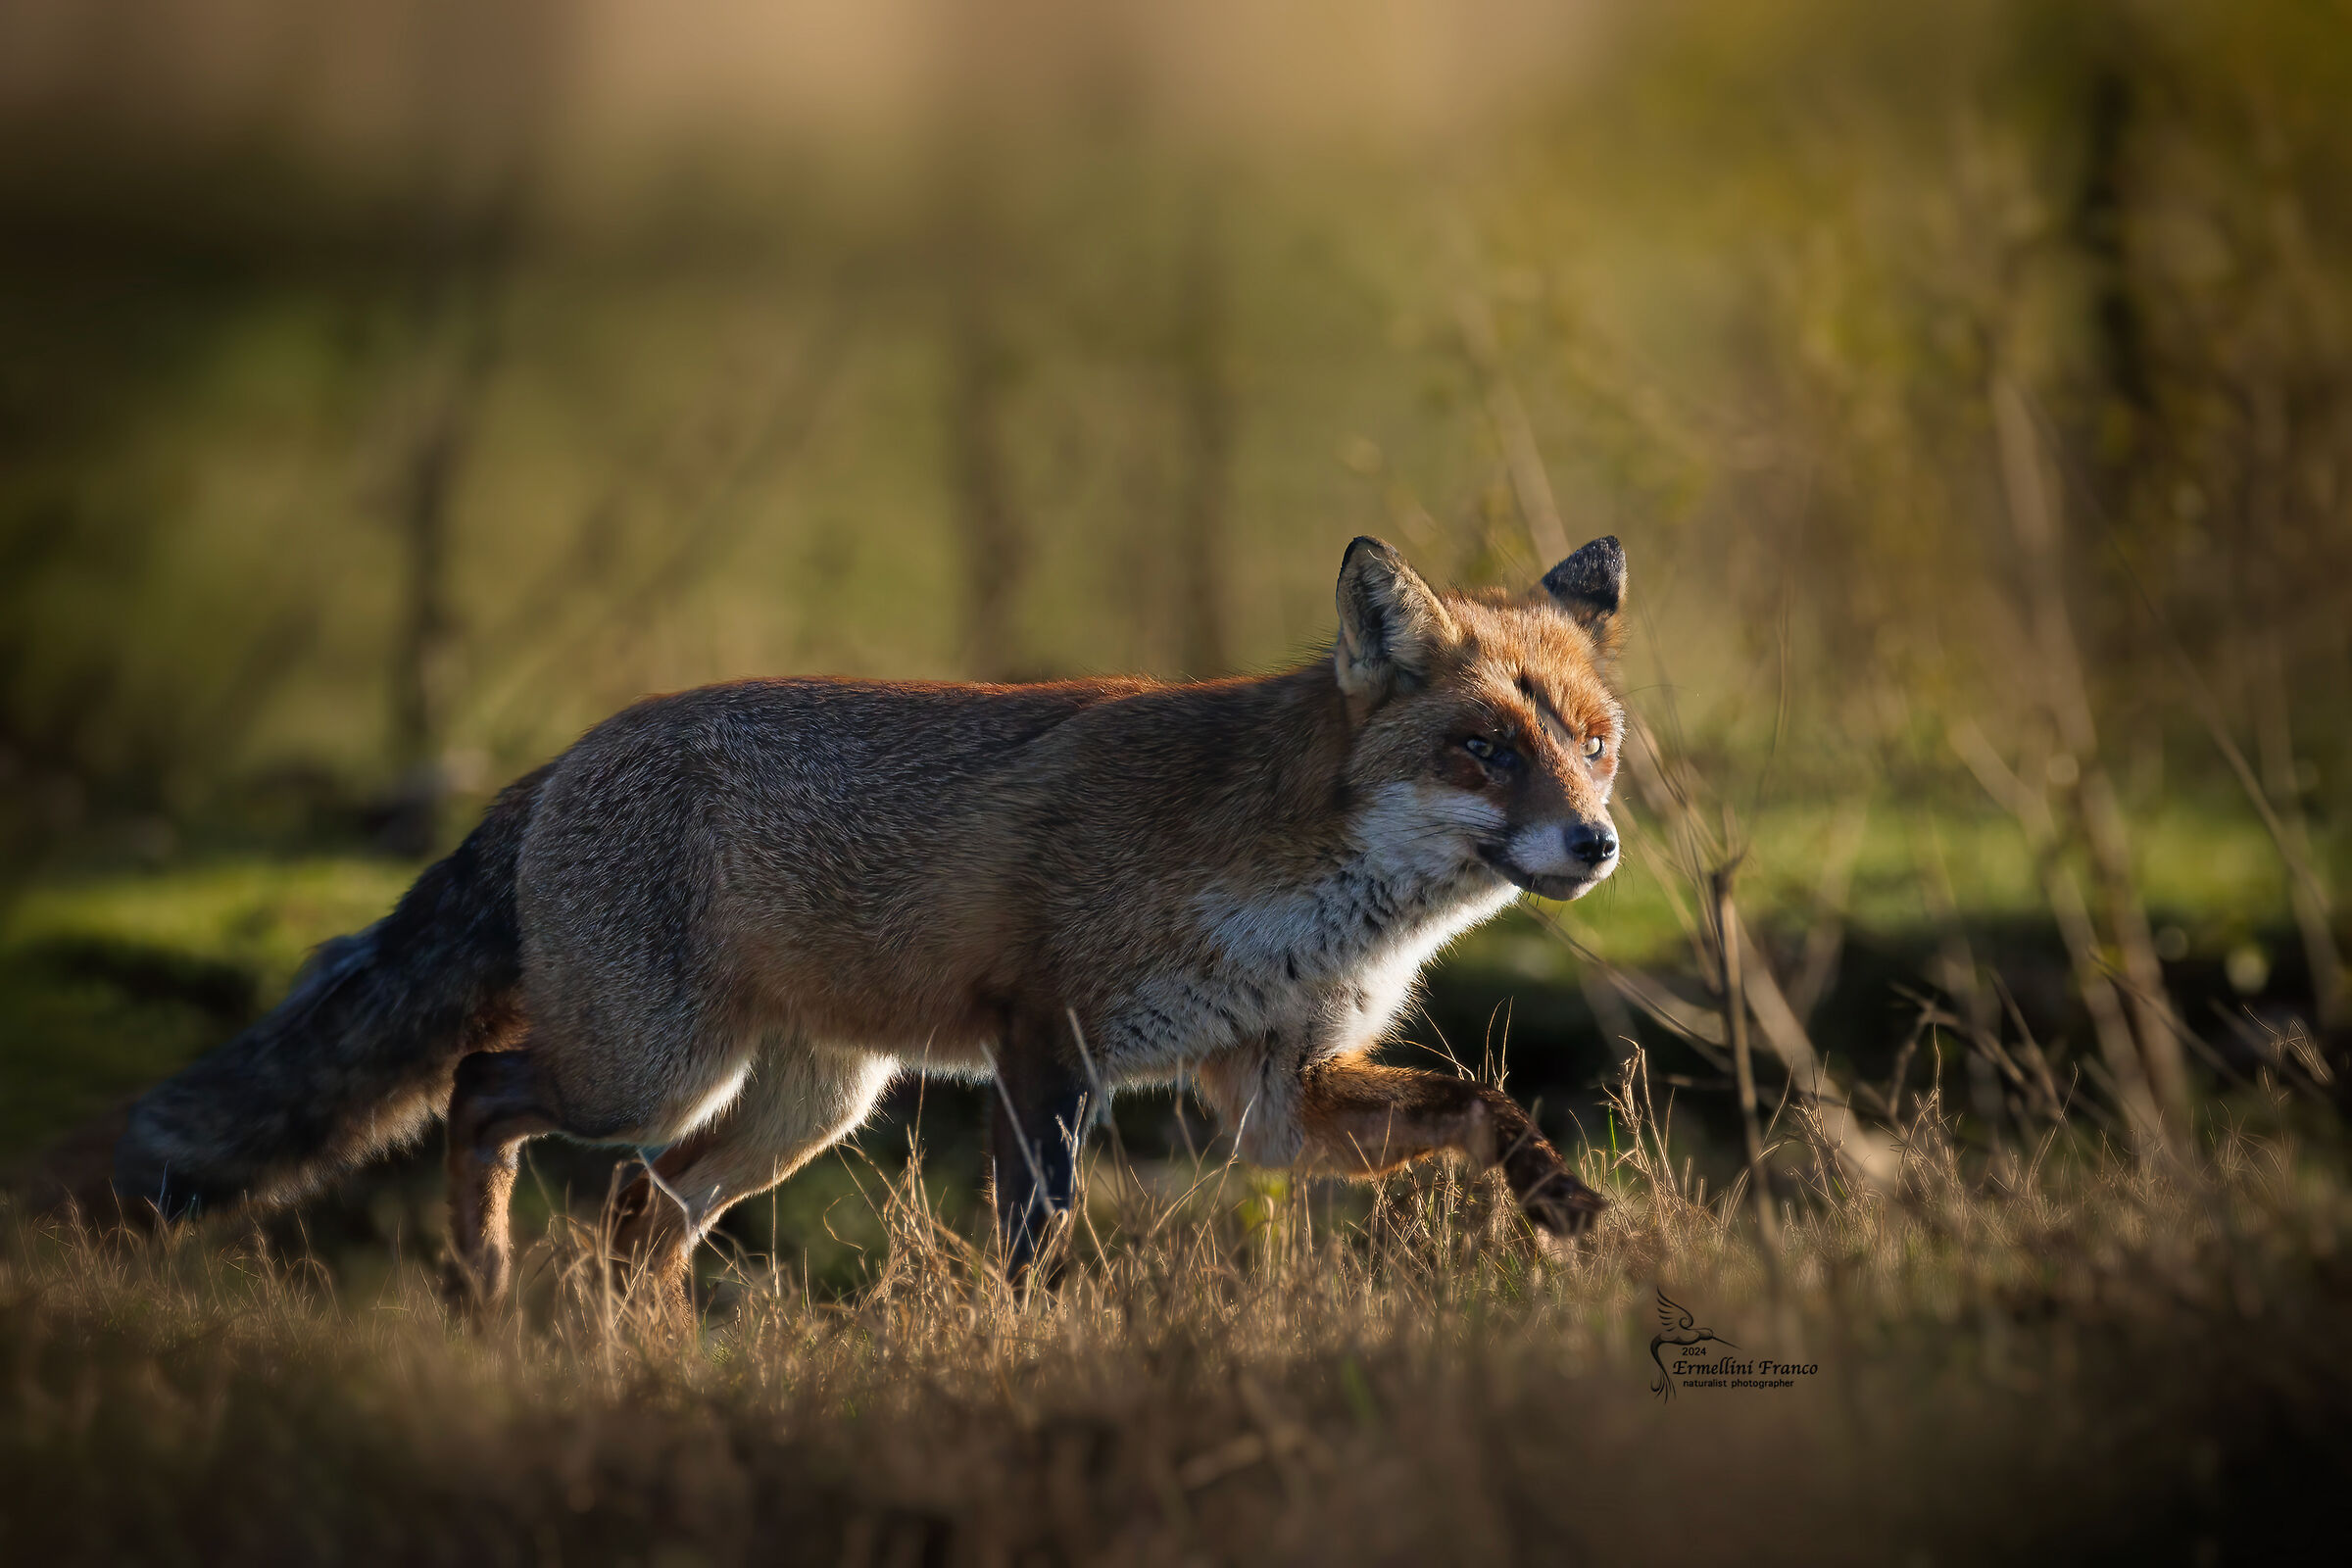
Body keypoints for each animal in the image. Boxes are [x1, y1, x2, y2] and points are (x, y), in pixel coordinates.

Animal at [106, 535, 1630, 1305]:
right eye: (1487, 750)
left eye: (1597, 748)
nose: (1598, 843)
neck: (1304, 887)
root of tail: (558, 761)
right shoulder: (1046, 1043)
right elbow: (1031, 1243)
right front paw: (1022, 1363)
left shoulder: (1266, 1091)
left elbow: (1487, 1102)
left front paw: (1570, 1210)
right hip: (647, 1071)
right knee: (486, 1092)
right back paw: (481, 1285)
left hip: (807, 1104)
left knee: (642, 1210)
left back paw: (647, 1368)